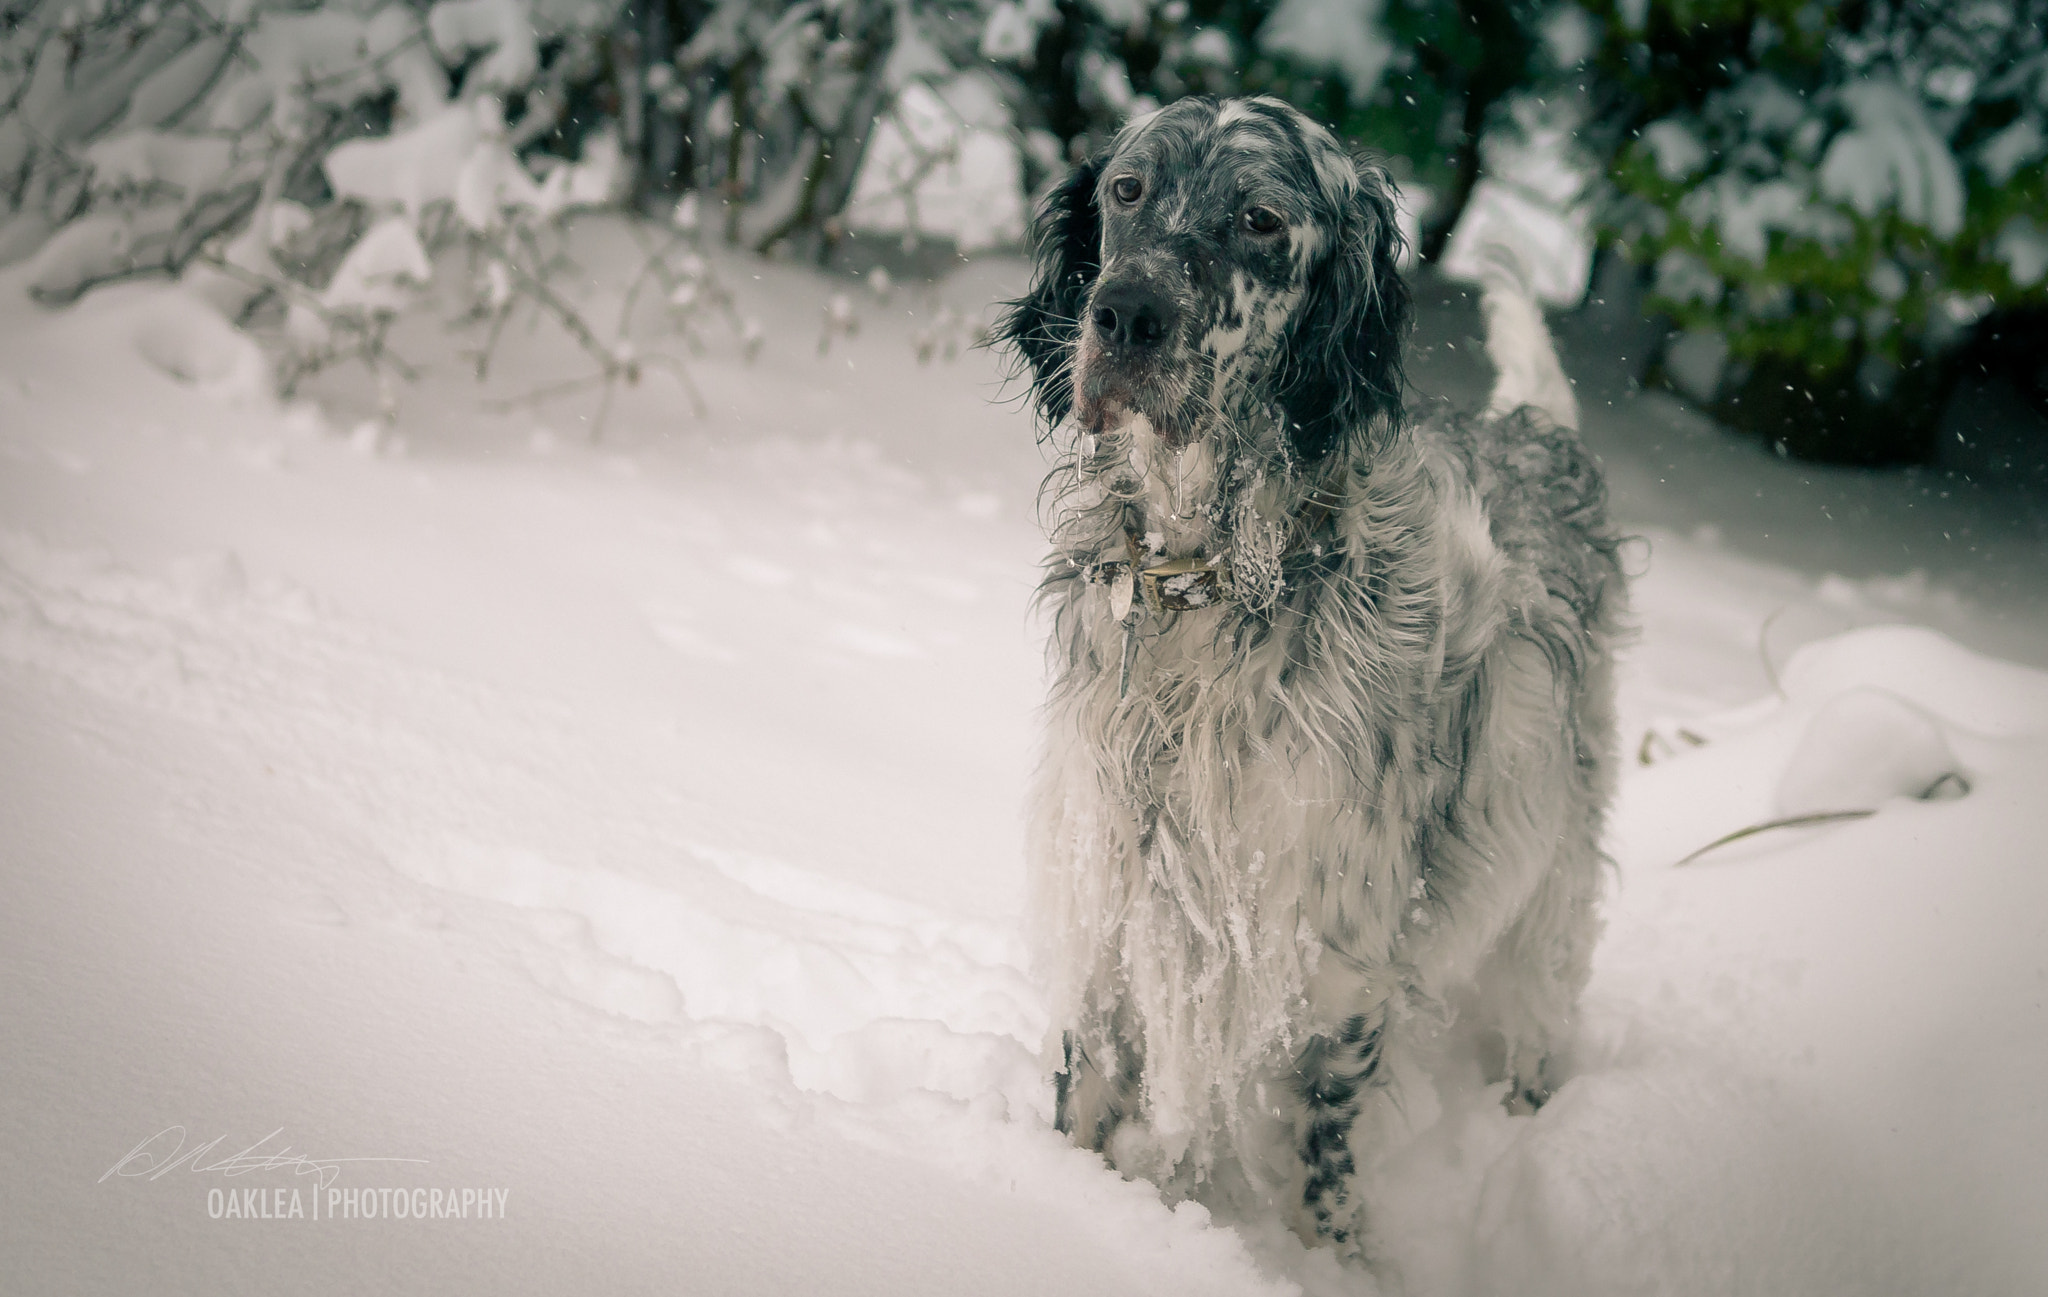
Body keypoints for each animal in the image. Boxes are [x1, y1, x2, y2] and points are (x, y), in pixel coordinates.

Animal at [999, 96, 1622, 1245]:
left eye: (1258, 218)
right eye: (1126, 189)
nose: (1124, 316)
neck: (1209, 585)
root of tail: (1532, 438)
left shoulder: (1329, 959)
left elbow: (1315, 1160)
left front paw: (1327, 1259)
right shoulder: (1112, 897)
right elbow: (1089, 1089)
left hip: (1550, 880)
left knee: (1537, 1011)